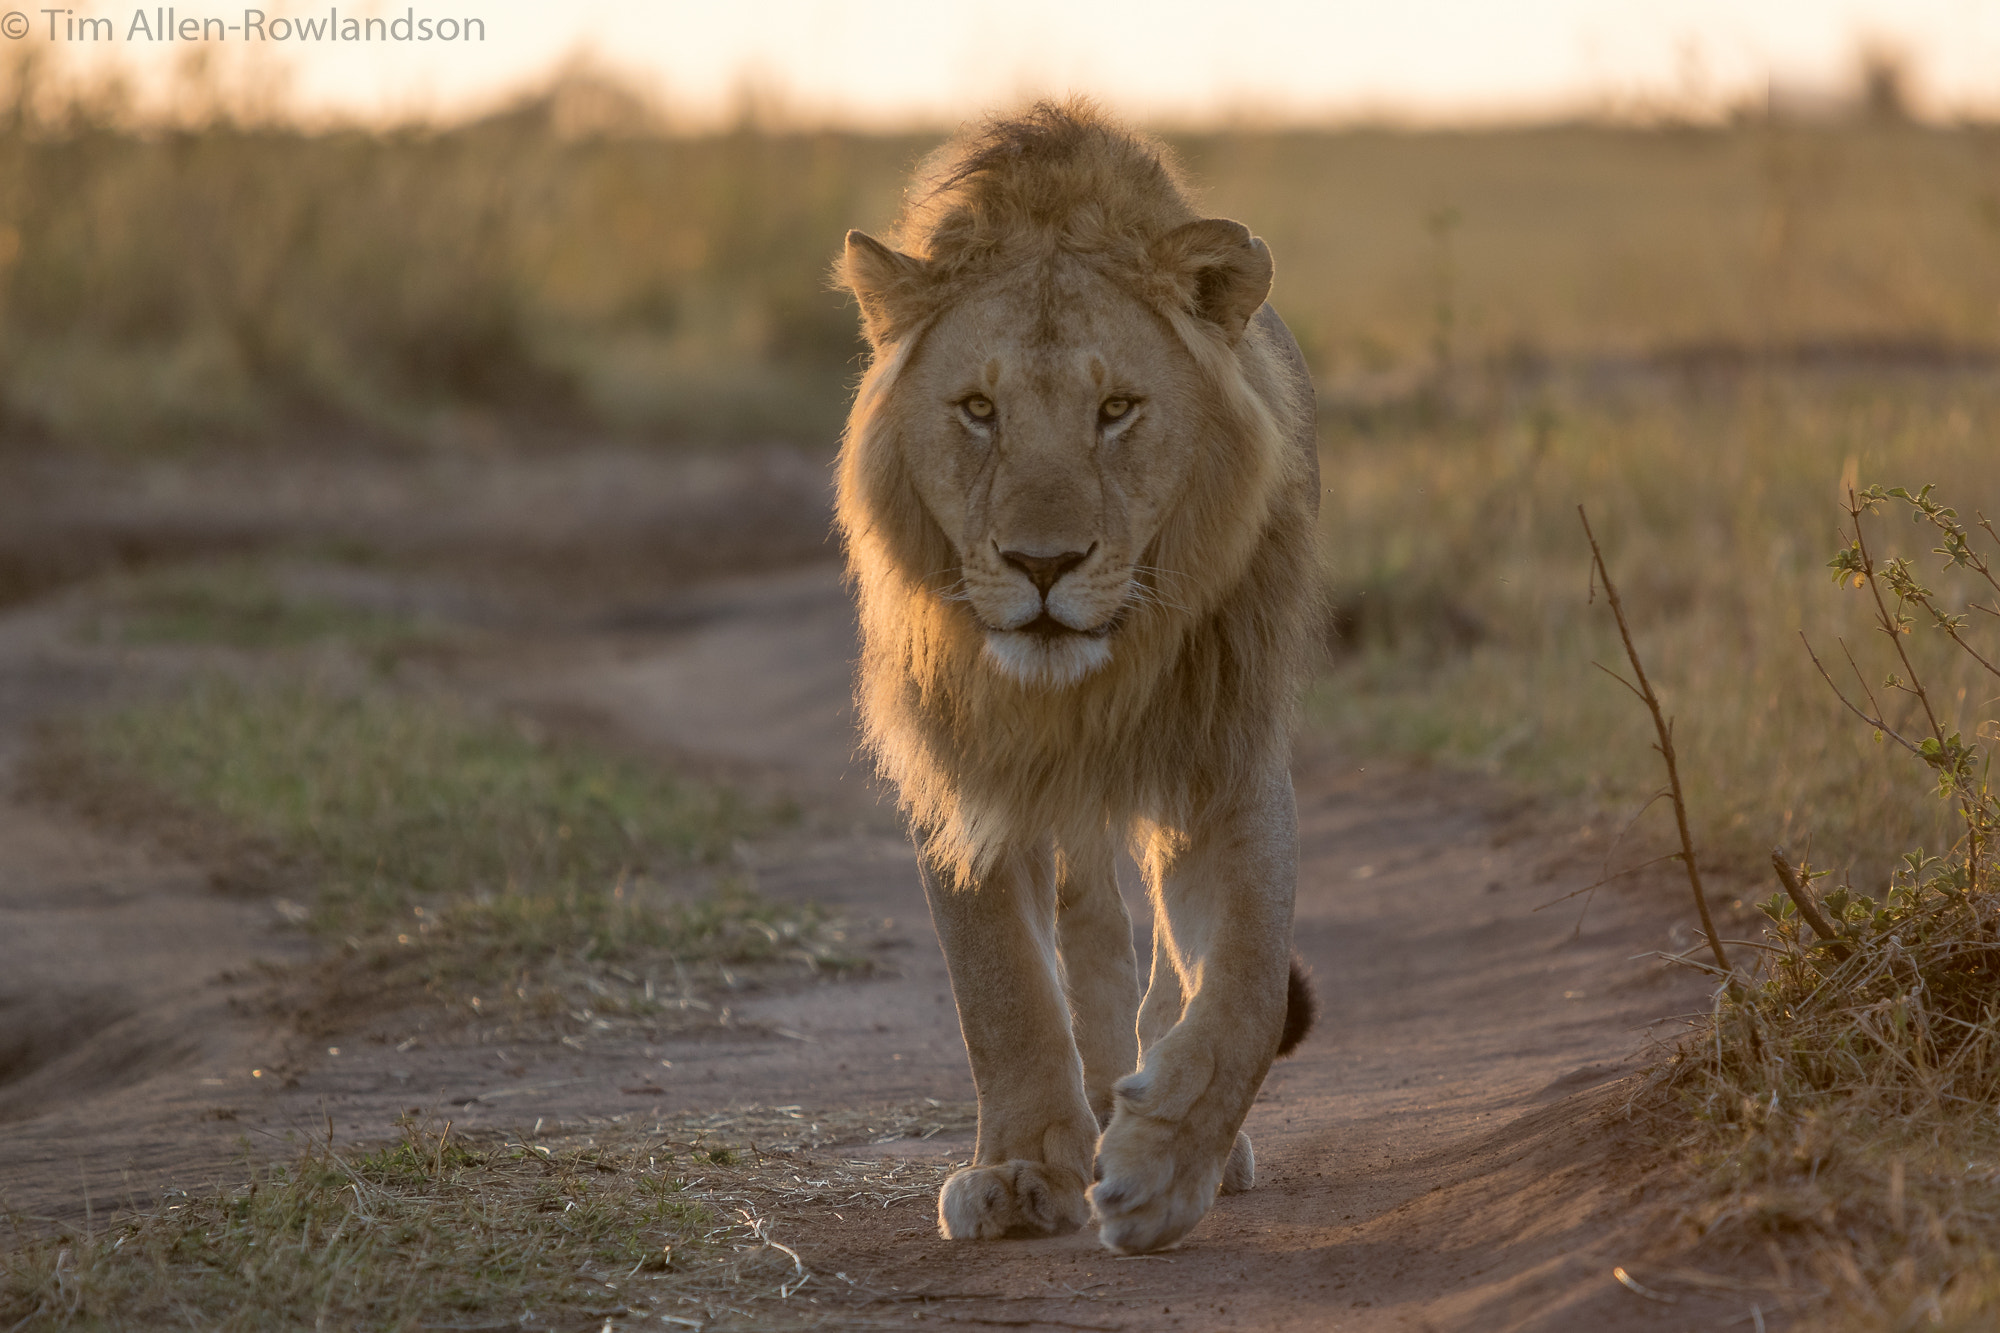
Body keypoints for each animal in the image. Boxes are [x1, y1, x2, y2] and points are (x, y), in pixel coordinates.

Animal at [836, 98, 1320, 1248]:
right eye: (978, 409)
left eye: (1116, 410)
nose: (1043, 564)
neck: (1077, 693)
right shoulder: (961, 768)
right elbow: (999, 982)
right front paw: (1021, 1167)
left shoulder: (1227, 754)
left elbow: (1244, 978)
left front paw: (1165, 1163)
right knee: (1088, 927)